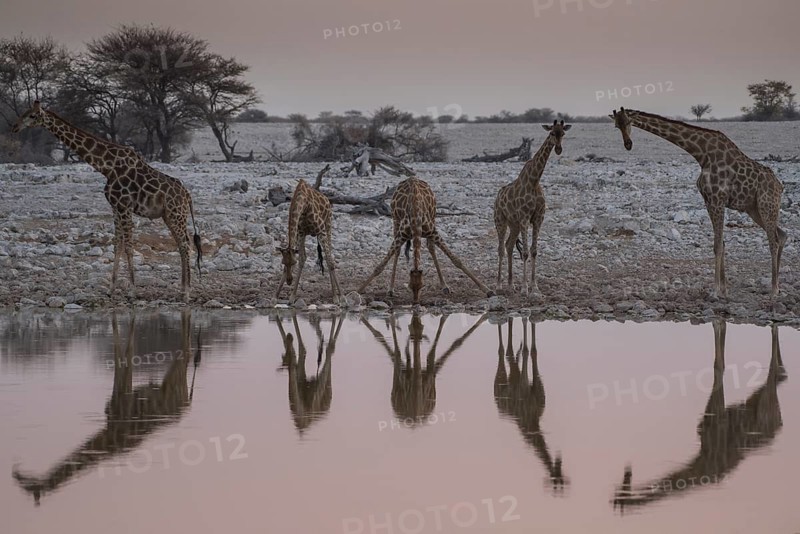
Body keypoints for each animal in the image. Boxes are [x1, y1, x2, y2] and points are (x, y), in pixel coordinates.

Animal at [11, 101, 203, 302]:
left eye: (32, 115)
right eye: (24, 112)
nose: (14, 127)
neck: (106, 167)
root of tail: (187, 195)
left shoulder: (125, 206)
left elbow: (128, 246)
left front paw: (132, 291)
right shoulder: (115, 207)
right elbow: (117, 245)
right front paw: (111, 289)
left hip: (176, 213)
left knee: (185, 244)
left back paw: (187, 292)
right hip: (168, 215)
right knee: (181, 244)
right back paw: (182, 289)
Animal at [358, 175, 493, 304]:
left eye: (422, 286)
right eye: (410, 286)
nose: (416, 302)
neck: (415, 216)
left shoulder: (433, 231)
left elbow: (456, 260)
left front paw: (487, 290)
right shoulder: (401, 234)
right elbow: (380, 266)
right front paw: (359, 290)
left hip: (433, 218)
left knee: (431, 248)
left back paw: (444, 286)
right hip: (395, 220)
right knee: (398, 251)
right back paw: (391, 289)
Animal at [494, 120, 571, 296]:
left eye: (563, 133)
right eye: (551, 133)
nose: (558, 149)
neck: (534, 181)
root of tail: (497, 198)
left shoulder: (538, 219)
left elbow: (534, 251)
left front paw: (534, 287)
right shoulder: (524, 217)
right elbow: (525, 252)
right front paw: (524, 288)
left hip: (514, 224)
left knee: (509, 246)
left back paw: (510, 285)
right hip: (500, 221)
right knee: (501, 248)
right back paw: (499, 285)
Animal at [611, 107, 787, 299]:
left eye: (629, 122)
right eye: (616, 125)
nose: (628, 144)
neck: (701, 154)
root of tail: (779, 185)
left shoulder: (718, 198)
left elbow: (718, 245)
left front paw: (715, 290)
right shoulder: (708, 201)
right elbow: (720, 243)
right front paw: (724, 289)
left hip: (766, 204)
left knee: (773, 240)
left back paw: (774, 289)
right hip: (754, 209)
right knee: (782, 235)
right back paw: (778, 286)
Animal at [612, 320, 786, 513]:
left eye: (623, 491)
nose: (627, 473)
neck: (700, 463)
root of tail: (778, 423)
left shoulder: (717, 416)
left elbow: (718, 363)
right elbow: (720, 354)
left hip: (765, 403)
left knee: (773, 370)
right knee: (779, 370)